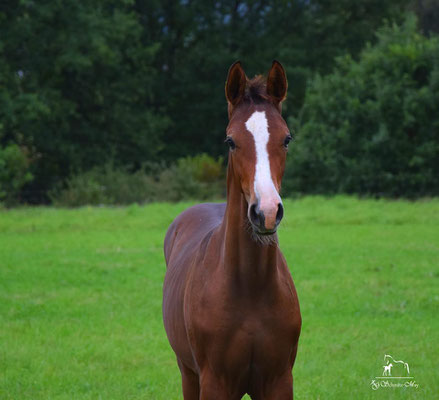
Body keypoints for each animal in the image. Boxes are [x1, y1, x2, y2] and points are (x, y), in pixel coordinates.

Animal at [163, 61, 300, 398]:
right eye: (230, 141)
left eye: (287, 139)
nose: (266, 212)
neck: (251, 286)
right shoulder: (215, 381)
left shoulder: (279, 381)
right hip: (188, 373)